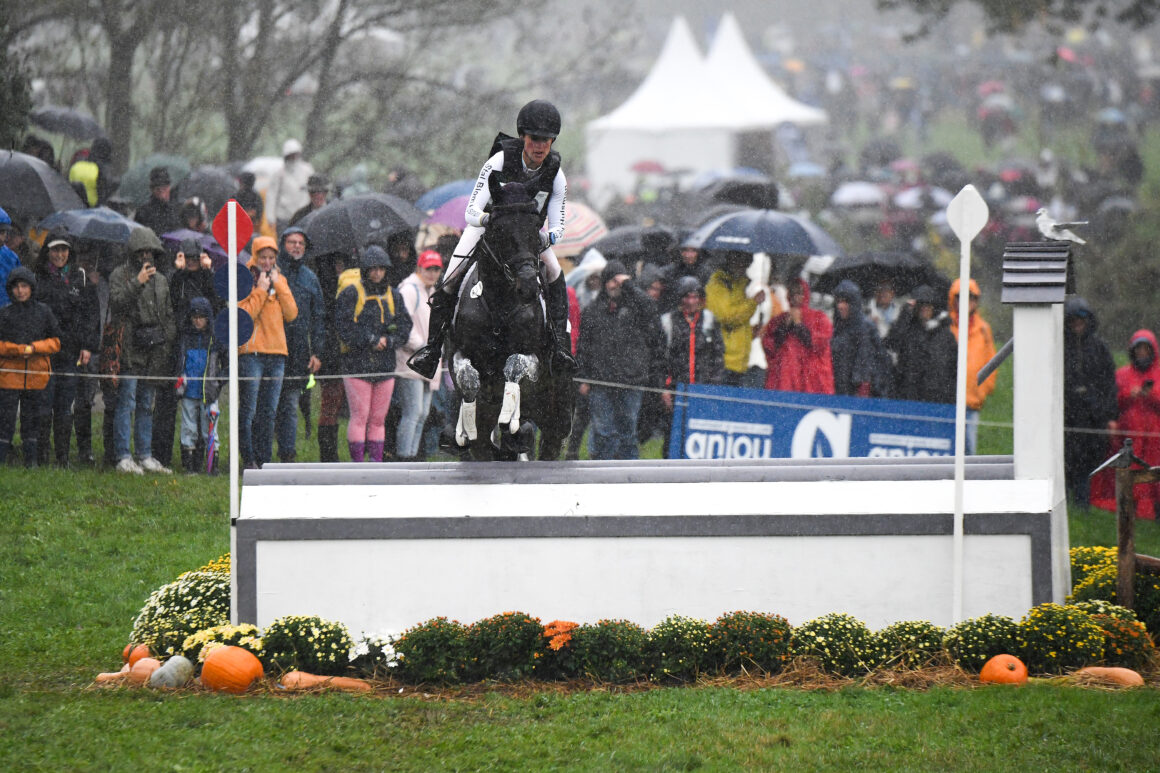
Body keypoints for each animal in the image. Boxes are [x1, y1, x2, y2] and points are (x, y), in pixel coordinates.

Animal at [443, 172, 570, 457]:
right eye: (499, 229)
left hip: (555, 418)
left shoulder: (534, 358)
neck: (499, 305)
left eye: (536, 228)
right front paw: (466, 424)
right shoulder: (459, 353)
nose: (529, 287)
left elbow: (514, 365)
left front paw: (509, 417)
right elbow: (468, 379)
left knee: (550, 440)